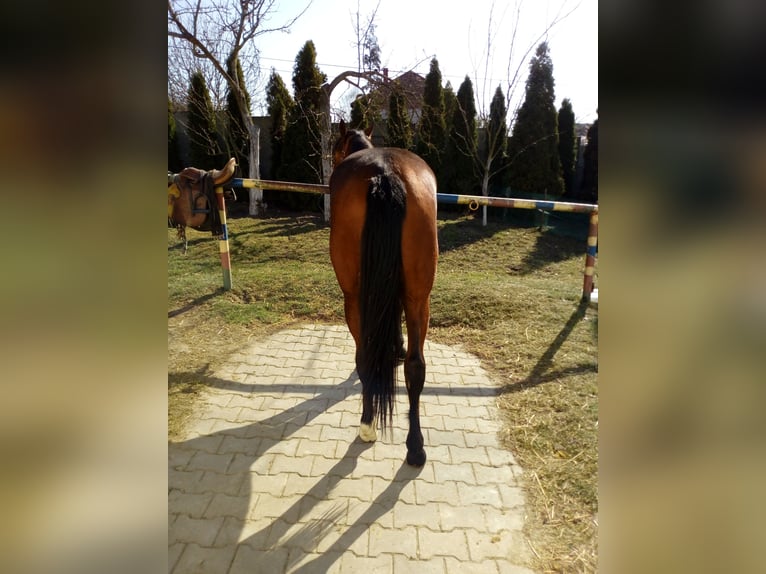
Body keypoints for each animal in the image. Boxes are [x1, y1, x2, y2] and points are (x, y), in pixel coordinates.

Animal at [329, 121, 438, 467]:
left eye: (334, 149)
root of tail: (385, 173)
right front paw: (397, 346)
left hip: (353, 297)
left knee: (364, 357)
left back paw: (367, 425)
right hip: (420, 297)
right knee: (416, 367)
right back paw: (415, 447)